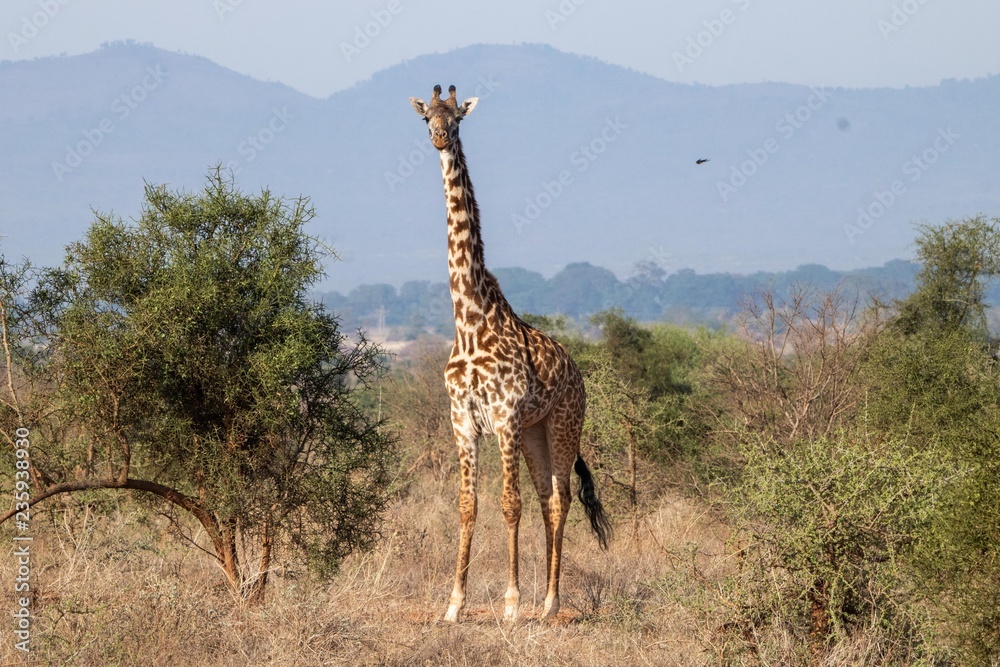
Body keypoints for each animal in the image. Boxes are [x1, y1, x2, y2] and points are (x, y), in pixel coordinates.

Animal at [409, 85, 611, 623]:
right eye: (427, 118)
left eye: (457, 118)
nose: (440, 138)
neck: (469, 321)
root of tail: (578, 374)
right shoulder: (462, 419)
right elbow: (468, 506)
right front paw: (454, 605)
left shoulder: (503, 417)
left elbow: (508, 504)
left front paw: (512, 602)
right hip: (535, 433)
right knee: (546, 498)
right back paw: (545, 598)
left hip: (561, 425)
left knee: (560, 499)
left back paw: (549, 602)